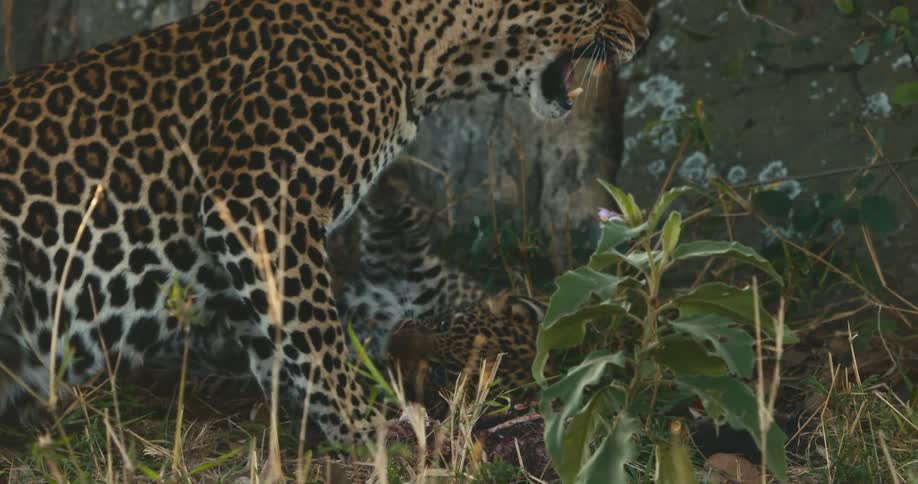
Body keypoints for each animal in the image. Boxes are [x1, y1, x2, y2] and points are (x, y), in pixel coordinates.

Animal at [0, 0, 649, 444]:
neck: (424, 52)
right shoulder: (260, 198)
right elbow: (317, 334)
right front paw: (369, 426)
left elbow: (280, 333)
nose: (644, 35)